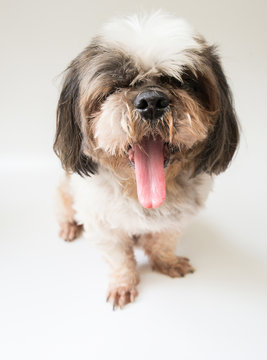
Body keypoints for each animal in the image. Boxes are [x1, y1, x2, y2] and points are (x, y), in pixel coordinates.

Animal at [54, 11, 241, 310]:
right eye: (117, 85)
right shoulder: (103, 225)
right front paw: (123, 284)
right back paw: (69, 226)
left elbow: (163, 242)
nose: (151, 100)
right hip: (63, 192)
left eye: (181, 81)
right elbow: (119, 259)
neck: (139, 191)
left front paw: (166, 263)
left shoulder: (177, 219)